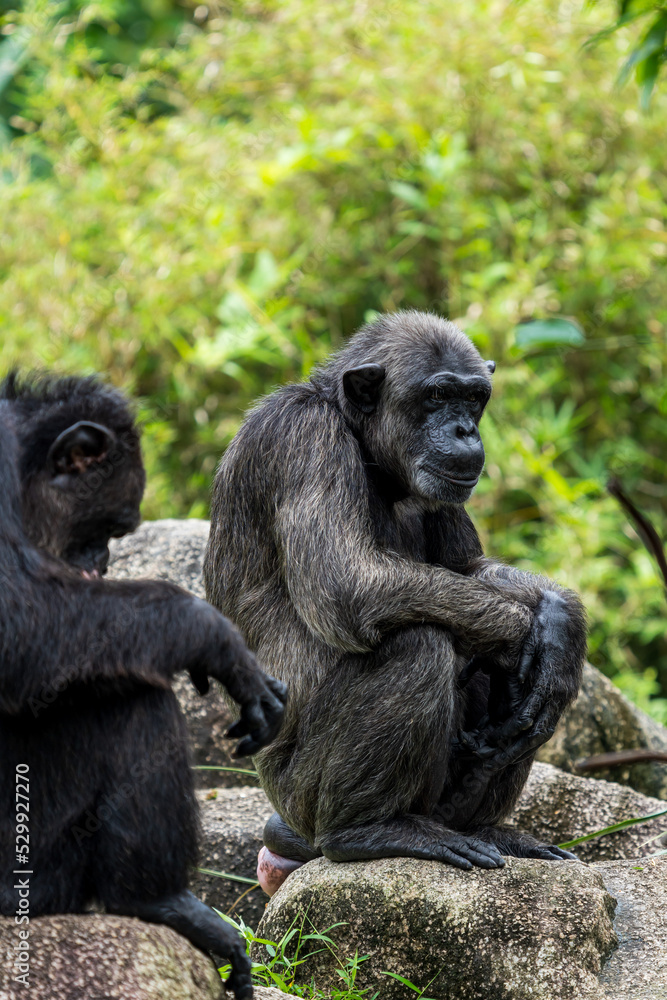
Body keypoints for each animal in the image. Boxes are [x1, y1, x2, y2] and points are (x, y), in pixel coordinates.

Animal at [0, 372, 288, 996]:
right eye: (108, 526)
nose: (104, 560)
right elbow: (21, 622)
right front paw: (212, 635)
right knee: (137, 702)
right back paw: (161, 902)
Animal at [206, 308, 588, 888]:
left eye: (474, 398)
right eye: (437, 396)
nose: (464, 429)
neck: (371, 454)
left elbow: (468, 570)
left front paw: (562, 624)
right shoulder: (304, 439)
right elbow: (348, 582)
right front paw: (524, 633)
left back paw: (486, 823)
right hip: (300, 797)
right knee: (419, 644)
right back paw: (370, 830)